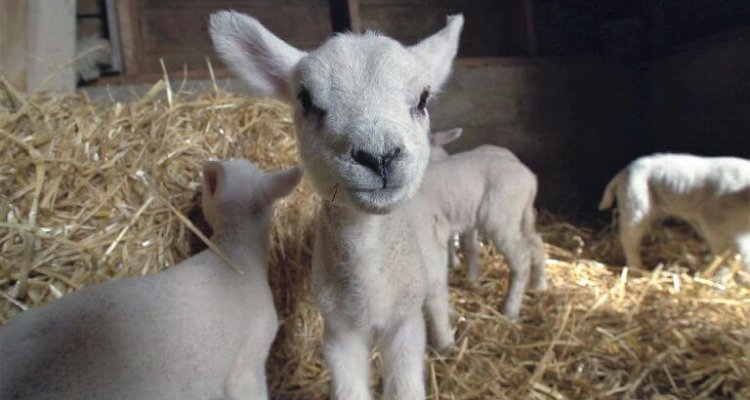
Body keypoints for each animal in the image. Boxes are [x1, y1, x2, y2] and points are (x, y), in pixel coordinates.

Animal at [210, 10, 464, 398]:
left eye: (423, 99)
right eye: (305, 99)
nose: (379, 156)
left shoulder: (405, 322)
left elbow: (406, 385)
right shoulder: (338, 331)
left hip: (430, 264)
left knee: (437, 296)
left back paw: (447, 343)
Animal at [424, 127, 548, 316]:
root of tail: (531, 180)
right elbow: (468, 247)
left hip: (501, 219)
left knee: (521, 259)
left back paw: (510, 309)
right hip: (522, 216)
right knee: (536, 243)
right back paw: (539, 284)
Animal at [604, 152, 750, 280]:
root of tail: (624, 171)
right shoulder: (714, 221)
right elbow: (732, 252)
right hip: (634, 204)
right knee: (629, 240)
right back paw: (636, 272)